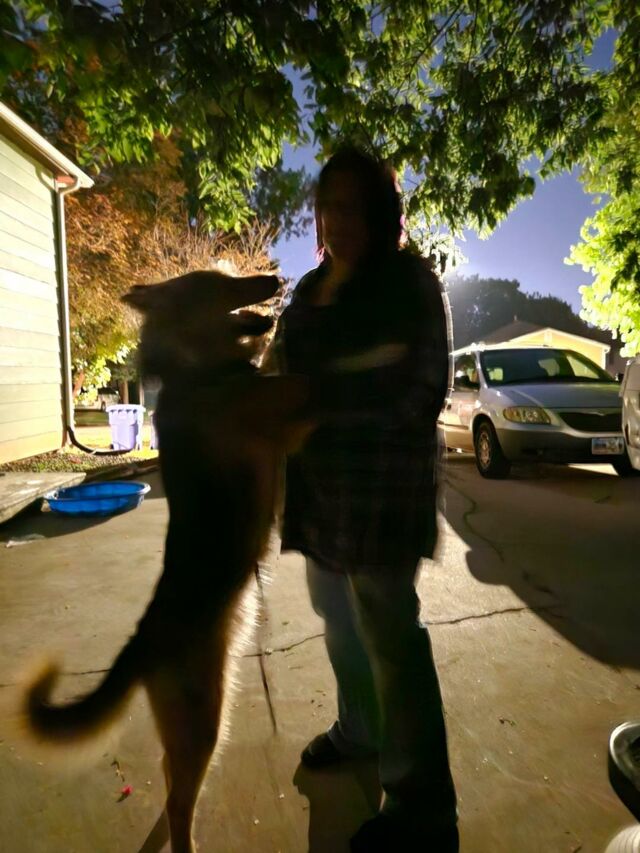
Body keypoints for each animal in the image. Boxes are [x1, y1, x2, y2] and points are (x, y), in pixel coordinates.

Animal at [20, 270, 310, 853]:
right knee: (179, 804)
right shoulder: (289, 401)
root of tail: (142, 641)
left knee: (172, 785)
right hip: (202, 721)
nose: (275, 279)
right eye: (215, 282)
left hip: (197, 723)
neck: (194, 371)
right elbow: (294, 370)